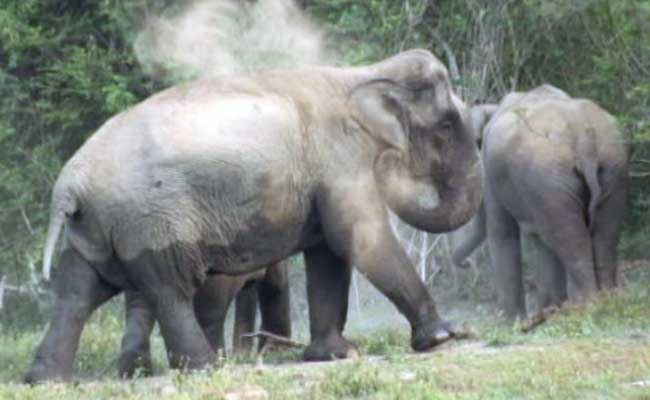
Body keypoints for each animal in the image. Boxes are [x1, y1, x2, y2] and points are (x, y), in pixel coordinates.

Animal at [451, 85, 628, 320]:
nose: (464, 264)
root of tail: (584, 136)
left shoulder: (492, 172)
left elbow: (502, 232)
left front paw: (513, 322)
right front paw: (548, 312)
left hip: (549, 174)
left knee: (570, 238)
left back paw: (587, 308)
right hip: (611, 167)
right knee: (603, 235)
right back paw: (607, 303)